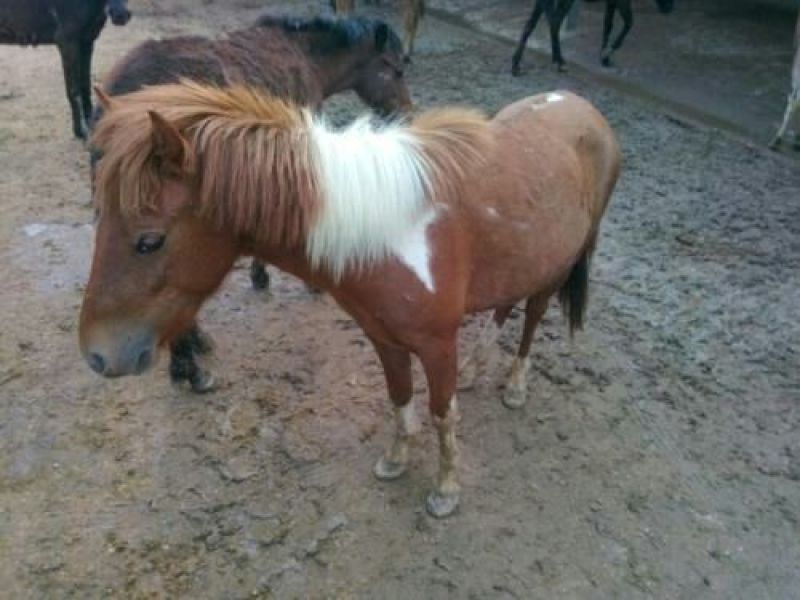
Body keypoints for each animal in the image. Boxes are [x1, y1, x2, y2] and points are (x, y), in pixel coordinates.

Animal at [0, 0, 131, 138]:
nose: (120, 15)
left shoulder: (87, 42)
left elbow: (85, 84)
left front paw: (91, 125)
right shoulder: (67, 43)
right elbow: (73, 90)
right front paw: (80, 131)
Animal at [79, 81, 620, 518]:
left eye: (149, 241)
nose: (97, 354)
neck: (385, 230)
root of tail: (586, 109)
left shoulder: (437, 343)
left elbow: (442, 413)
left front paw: (446, 489)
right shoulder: (383, 337)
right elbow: (400, 398)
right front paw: (396, 460)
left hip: (556, 268)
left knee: (531, 317)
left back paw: (516, 386)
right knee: (504, 307)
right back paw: (477, 369)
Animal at [511, 0, 674, 75]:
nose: (668, 9)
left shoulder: (612, 1)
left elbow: (608, 25)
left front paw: (604, 58)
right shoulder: (621, 0)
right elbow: (628, 23)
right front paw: (607, 53)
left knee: (532, 24)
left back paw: (516, 65)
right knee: (554, 21)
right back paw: (560, 62)